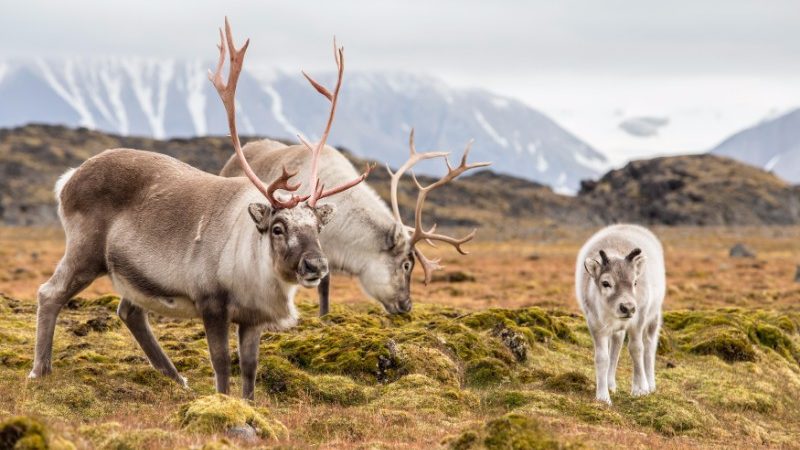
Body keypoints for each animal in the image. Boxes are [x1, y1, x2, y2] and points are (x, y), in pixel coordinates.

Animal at [28, 19, 369, 401]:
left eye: (317, 226)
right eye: (278, 227)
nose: (316, 265)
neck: (253, 263)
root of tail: (68, 180)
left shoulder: (252, 317)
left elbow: (249, 367)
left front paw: (248, 405)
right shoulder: (212, 303)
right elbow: (221, 363)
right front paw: (222, 401)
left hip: (131, 274)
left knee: (129, 311)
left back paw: (175, 377)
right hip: (85, 252)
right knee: (50, 293)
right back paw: (40, 370)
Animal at [575, 224, 666, 405]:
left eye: (635, 282)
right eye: (606, 283)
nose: (628, 308)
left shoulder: (638, 321)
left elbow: (636, 349)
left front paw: (640, 389)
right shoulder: (596, 325)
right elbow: (602, 358)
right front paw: (603, 396)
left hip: (653, 317)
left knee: (649, 347)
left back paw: (650, 384)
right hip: (618, 329)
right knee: (616, 346)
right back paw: (611, 384)